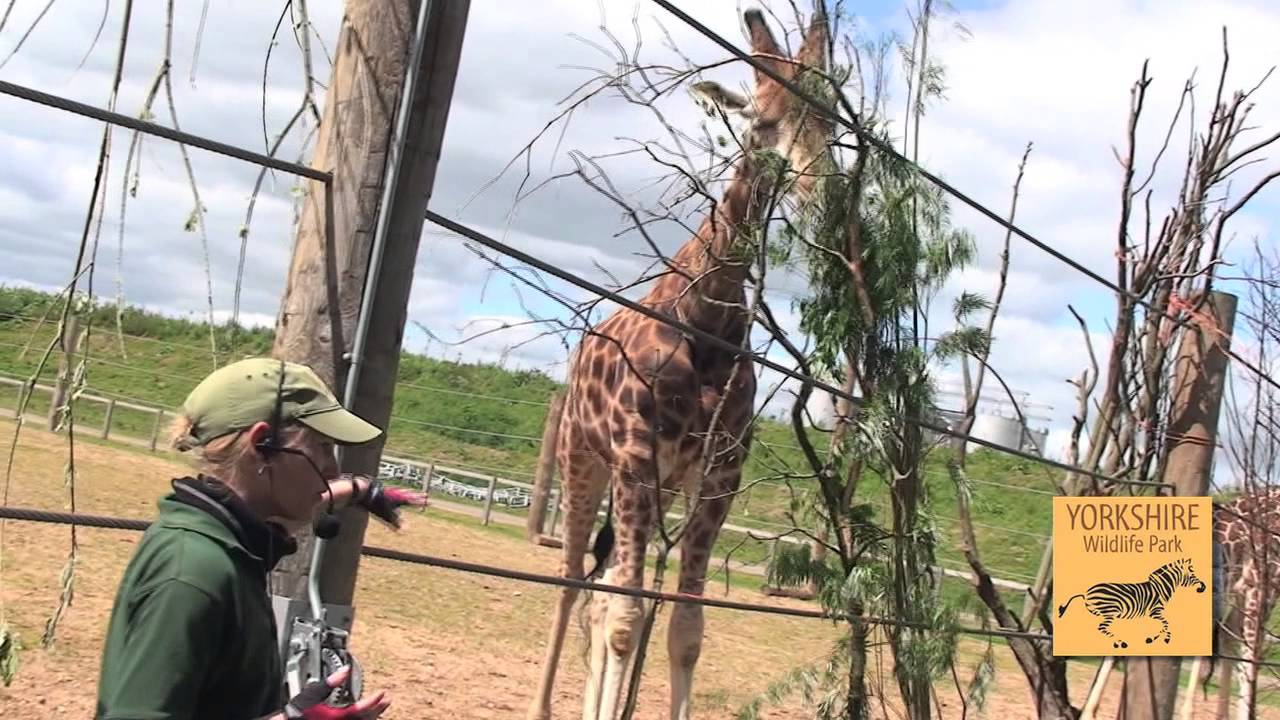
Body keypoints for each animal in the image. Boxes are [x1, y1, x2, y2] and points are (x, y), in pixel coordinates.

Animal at [526, 9, 834, 720]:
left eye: (829, 118)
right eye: (762, 120)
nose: (815, 193)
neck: (707, 315)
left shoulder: (719, 469)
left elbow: (685, 626)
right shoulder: (635, 455)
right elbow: (626, 617)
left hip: (657, 483)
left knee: (601, 590)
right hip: (583, 460)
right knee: (572, 583)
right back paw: (544, 706)